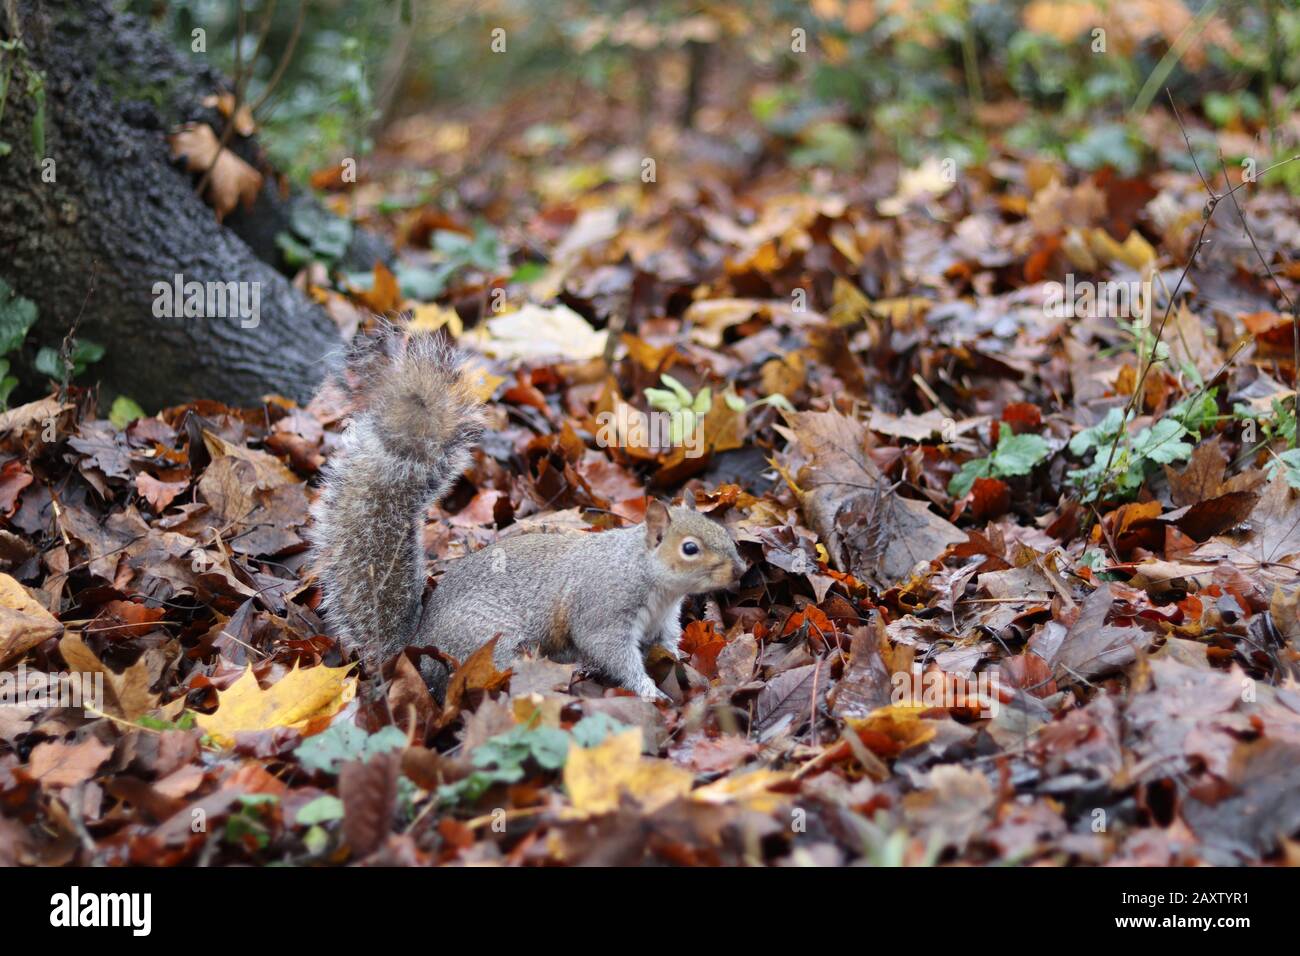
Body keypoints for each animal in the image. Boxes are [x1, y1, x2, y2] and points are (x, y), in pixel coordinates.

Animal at [308, 325, 748, 697]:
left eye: (719, 529)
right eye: (689, 549)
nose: (740, 570)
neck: (648, 575)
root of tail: (415, 650)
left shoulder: (662, 622)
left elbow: (668, 646)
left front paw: (686, 666)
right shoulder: (604, 611)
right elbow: (612, 653)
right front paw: (650, 691)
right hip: (492, 642)